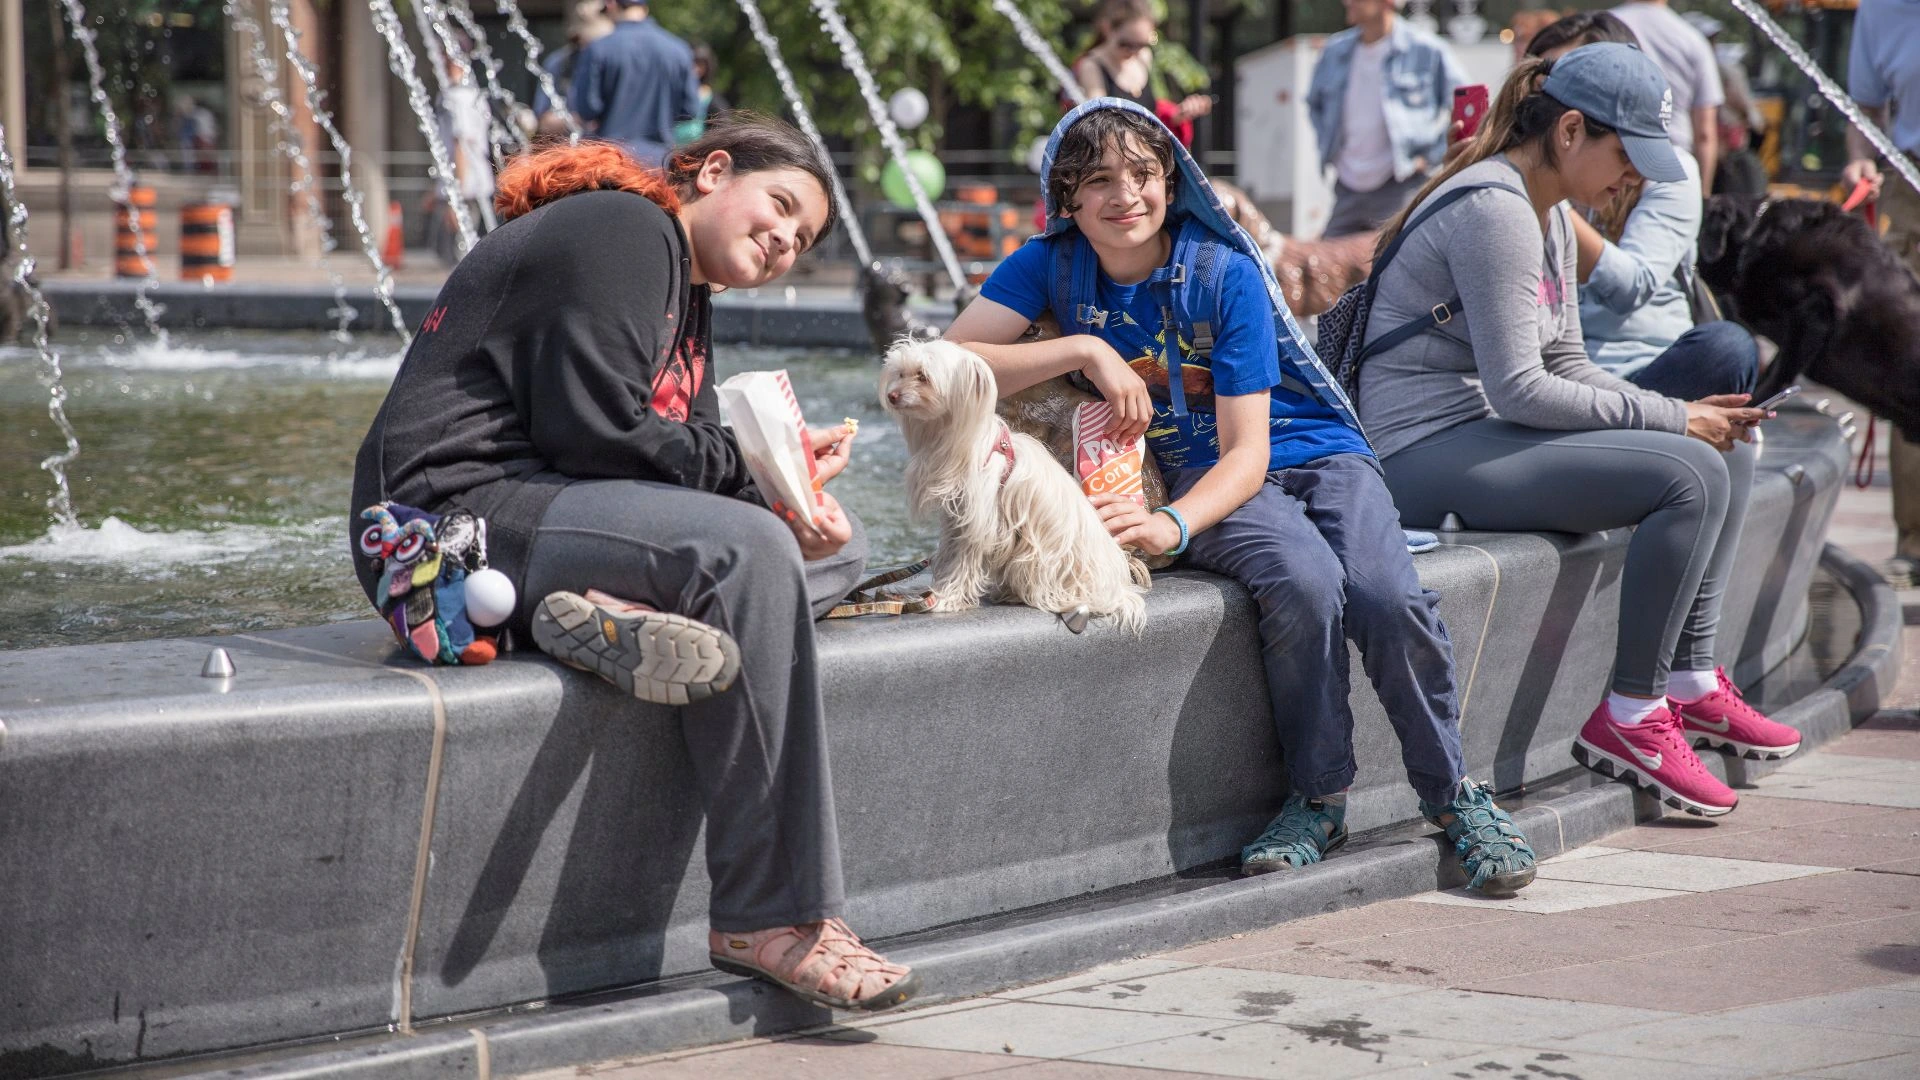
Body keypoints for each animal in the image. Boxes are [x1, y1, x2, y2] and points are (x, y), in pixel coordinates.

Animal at [879, 338, 1144, 630]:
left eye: (923, 376)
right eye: (900, 373)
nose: (891, 396)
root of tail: (1117, 590)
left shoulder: (978, 522)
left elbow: (963, 561)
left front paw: (947, 599)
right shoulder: (955, 517)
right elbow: (949, 554)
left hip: (1035, 559)